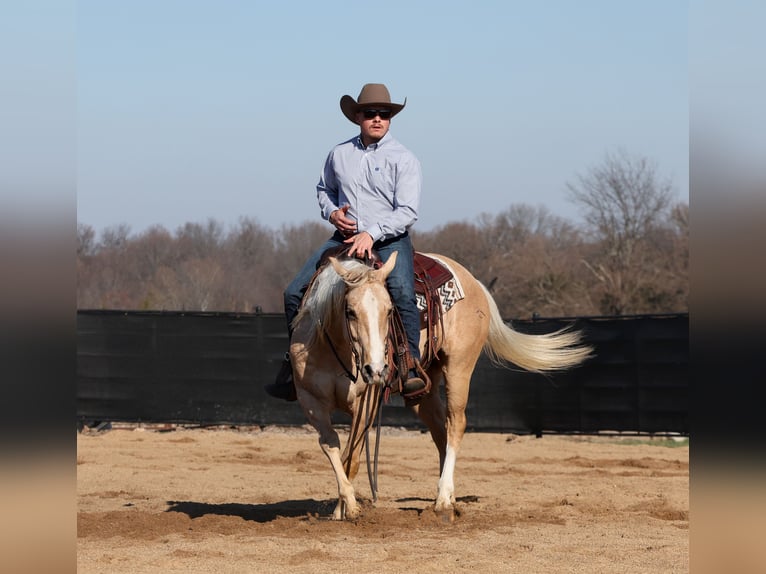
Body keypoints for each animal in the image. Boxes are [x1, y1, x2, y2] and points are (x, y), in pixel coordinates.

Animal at [288, 252, 592, 520]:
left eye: (390, 310)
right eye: (350, 312)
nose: (376, 369)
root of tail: (473, 280)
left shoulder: (367, 402)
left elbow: (352, 456)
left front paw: (346, 509)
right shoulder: (310, 401)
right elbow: (331, 446)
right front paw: (343, 506)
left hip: (459, 368)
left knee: (455, 423)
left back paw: (444, 499)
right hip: (424, 388)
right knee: (439, 432)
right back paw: (450, 495)